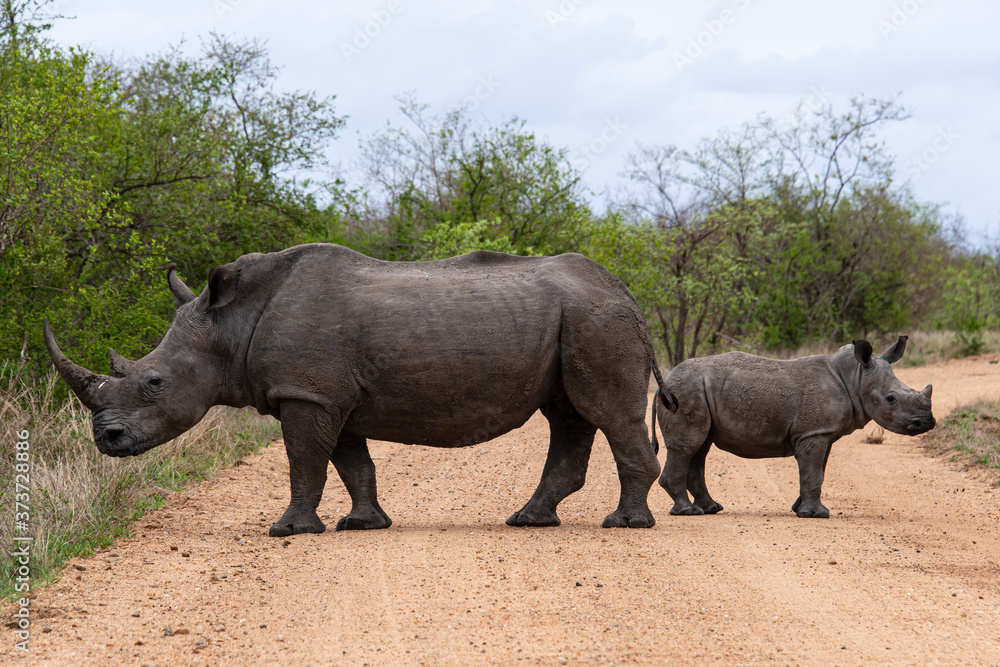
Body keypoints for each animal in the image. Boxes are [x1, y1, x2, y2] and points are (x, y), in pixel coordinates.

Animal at [45, 244, 678, 536]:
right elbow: (352, 464)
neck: (230, 324)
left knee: (605, 414)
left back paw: (624, 525)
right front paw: (363, 525)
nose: (107, 439)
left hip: (596, 319)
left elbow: (305, 461)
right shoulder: (327, 396)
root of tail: (626, 292)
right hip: (582, 318)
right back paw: (528, 520)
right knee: (568, 415)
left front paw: (288, 531)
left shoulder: (306, 393)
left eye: (154, 382)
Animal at [652, 338, 935, 518]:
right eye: (891, 399)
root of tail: (665, 382)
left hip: (695, 391)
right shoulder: (814, 432)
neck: (856, 377)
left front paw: (799, 509)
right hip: (686, 392)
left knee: (699, 447)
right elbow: (813, 472)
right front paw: (815, 515)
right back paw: (688, 511)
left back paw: (710, 509)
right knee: (688, 446)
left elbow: (817, 470)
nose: (927, 422)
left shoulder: (821, 432)